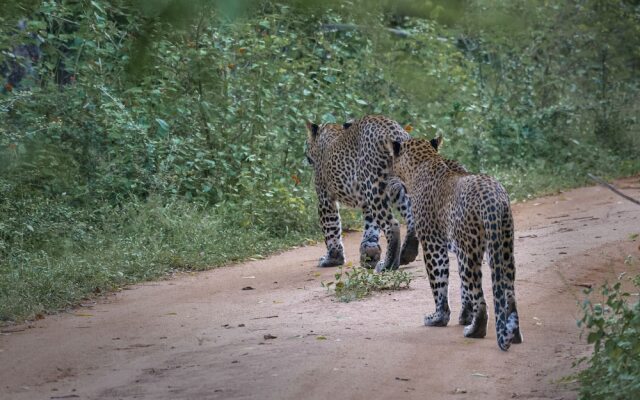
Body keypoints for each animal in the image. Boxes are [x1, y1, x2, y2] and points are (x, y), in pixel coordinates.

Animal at [304, 115, 420, 272]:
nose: (304, 154)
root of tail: (394, 132)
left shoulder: (325, 198)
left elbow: (331, 229)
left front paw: (333, 259)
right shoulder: (366, 201)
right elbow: (370, 228)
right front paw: (369, 255)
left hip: (375, 186)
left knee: (392, 225)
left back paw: (388, 264)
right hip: (397, 188)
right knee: (412, 216)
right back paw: (407, 253)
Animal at [388, 137, 524, 350]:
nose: (388, 179)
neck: (424, 161)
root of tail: (492, 197)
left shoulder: (433, 243)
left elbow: (439, 283)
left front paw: (438, 318)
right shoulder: (459, 249)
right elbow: (463, 289)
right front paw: (464, 315)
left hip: (471, 252)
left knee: (481, 298)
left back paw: (475, 331)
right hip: (503, 247)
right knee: (509, 294)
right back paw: (513, 335)